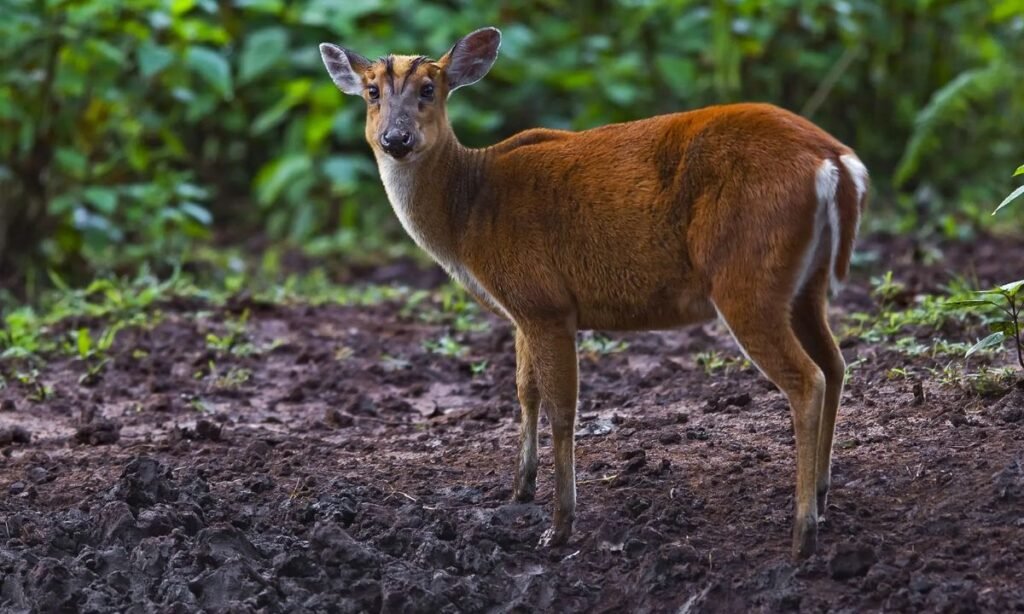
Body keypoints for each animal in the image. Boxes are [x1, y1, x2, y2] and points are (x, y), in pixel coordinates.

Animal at [319, 27, 868, 559]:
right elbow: (525, 390)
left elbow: (563, 409)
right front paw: (519, 490)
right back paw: (822, 497)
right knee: (835, 363)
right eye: (372, 92)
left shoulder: (543, 300)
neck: (468, 214)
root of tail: (836, 161)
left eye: (429, 89)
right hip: (804, 283)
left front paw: (559, 528)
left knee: (806, 379)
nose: (396, 138)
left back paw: (801, 535)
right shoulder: (524, 309)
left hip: (745, 275)